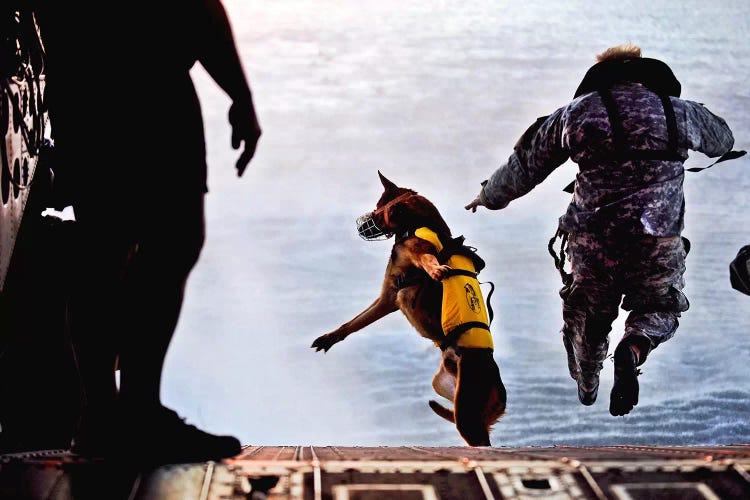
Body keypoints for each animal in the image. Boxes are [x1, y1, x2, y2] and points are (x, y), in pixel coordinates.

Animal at [312, 171, 512, 446]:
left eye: (378, 211)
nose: (362, 225)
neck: (418, 223)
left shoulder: (418, 254)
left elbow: (428, 258)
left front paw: (436, 270)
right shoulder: (387, 298)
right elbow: (353, 323)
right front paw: (330, 338)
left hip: (468, 415)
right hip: (445, 389)